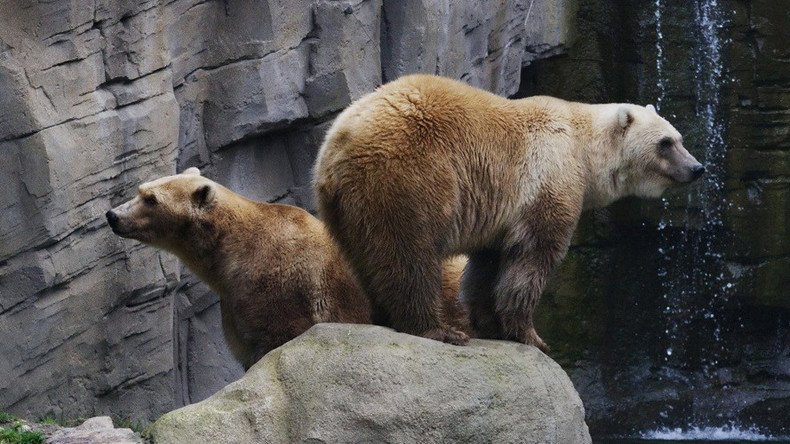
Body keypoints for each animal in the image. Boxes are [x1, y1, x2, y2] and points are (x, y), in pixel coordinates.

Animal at [316, 73, 704, 350]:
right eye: (666, 142)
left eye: (680, 137)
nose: (697, 168)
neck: (584, 150)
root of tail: (339, 144)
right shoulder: (547, 176)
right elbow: (532, 256)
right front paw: (531, 335)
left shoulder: (496, 212)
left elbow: (487, 265)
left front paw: (489, 323)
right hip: (409, 175)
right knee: (408, 253)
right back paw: (438, 329)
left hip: (346, 208)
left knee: (365, 257)